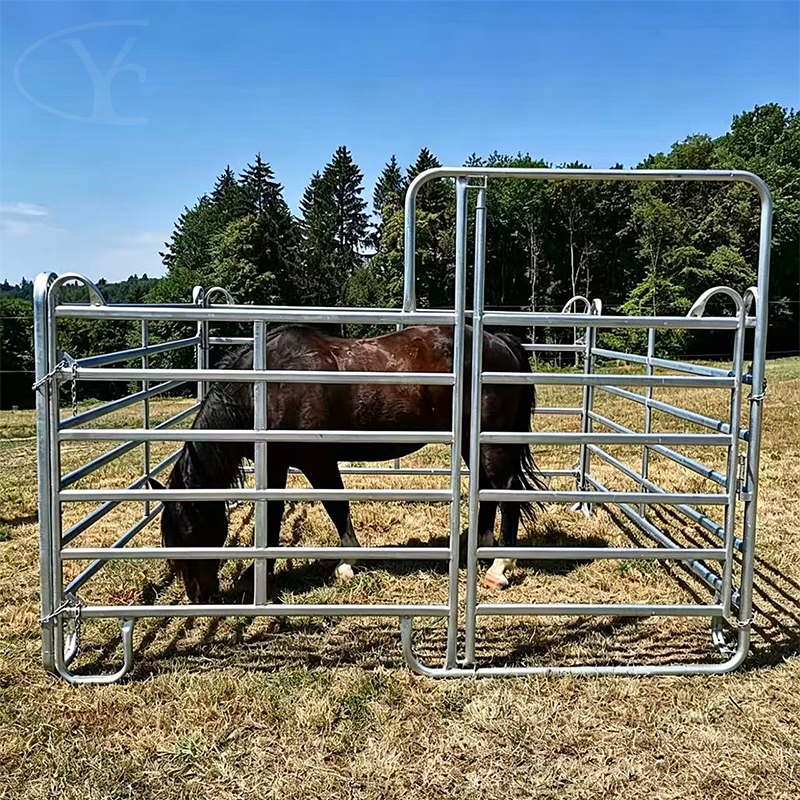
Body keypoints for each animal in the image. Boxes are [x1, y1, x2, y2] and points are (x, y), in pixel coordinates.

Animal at [149, 324, 544, 602]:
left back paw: (499, 567)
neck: (265, 387)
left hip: (491, 443)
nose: (200, 596)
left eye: (189, 531)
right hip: (472, 442)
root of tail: (499, 342)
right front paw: (257, 572)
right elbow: (272, 514)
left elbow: (335, 504)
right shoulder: (276, 462)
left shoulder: (317, 460)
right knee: (489, 489)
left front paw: (346, 563)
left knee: (506, 490)